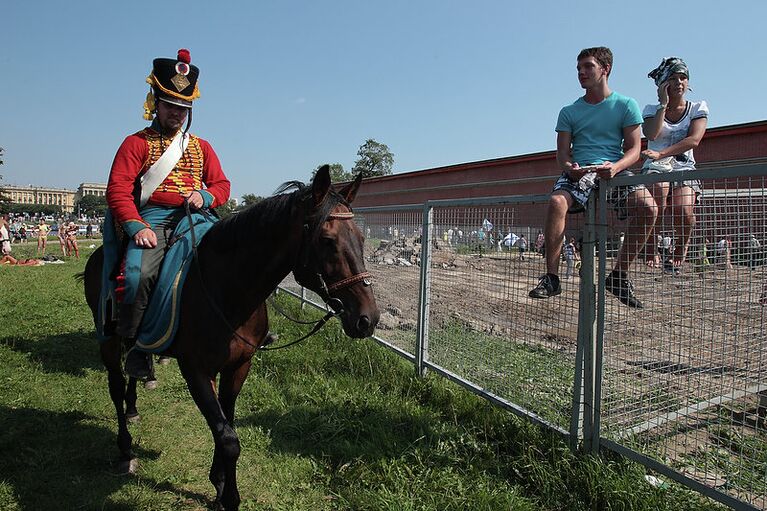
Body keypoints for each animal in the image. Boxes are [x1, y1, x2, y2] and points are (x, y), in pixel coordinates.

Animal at [82, 166, 380, 510]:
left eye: (361, 238)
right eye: (328, 240)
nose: (368, 318)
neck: (228, 290)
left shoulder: (238, 365)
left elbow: (227, 422)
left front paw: (220, 481)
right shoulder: (196, 370)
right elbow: (227, 437)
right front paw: (229, 496)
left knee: (132, 368)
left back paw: (134, 404)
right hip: (108, 338)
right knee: (116, 385)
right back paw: (125, 449)